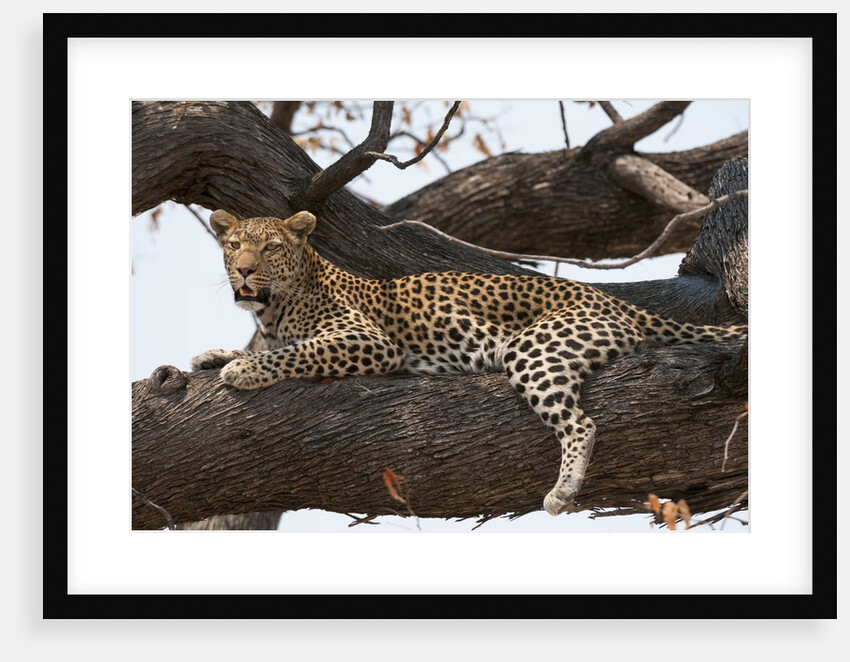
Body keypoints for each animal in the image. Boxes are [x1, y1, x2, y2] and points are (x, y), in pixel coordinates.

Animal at [191, 209, 748, 516]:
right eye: (235, 245)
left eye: (271, 248)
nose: (244, 271)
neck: (274, 307)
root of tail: (622, 304)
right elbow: (260, 346)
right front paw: (214, 355)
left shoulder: (369, 340)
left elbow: (297, 351)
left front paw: (242, 370)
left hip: (533, 349)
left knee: (581, 423)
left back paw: (562, 490)